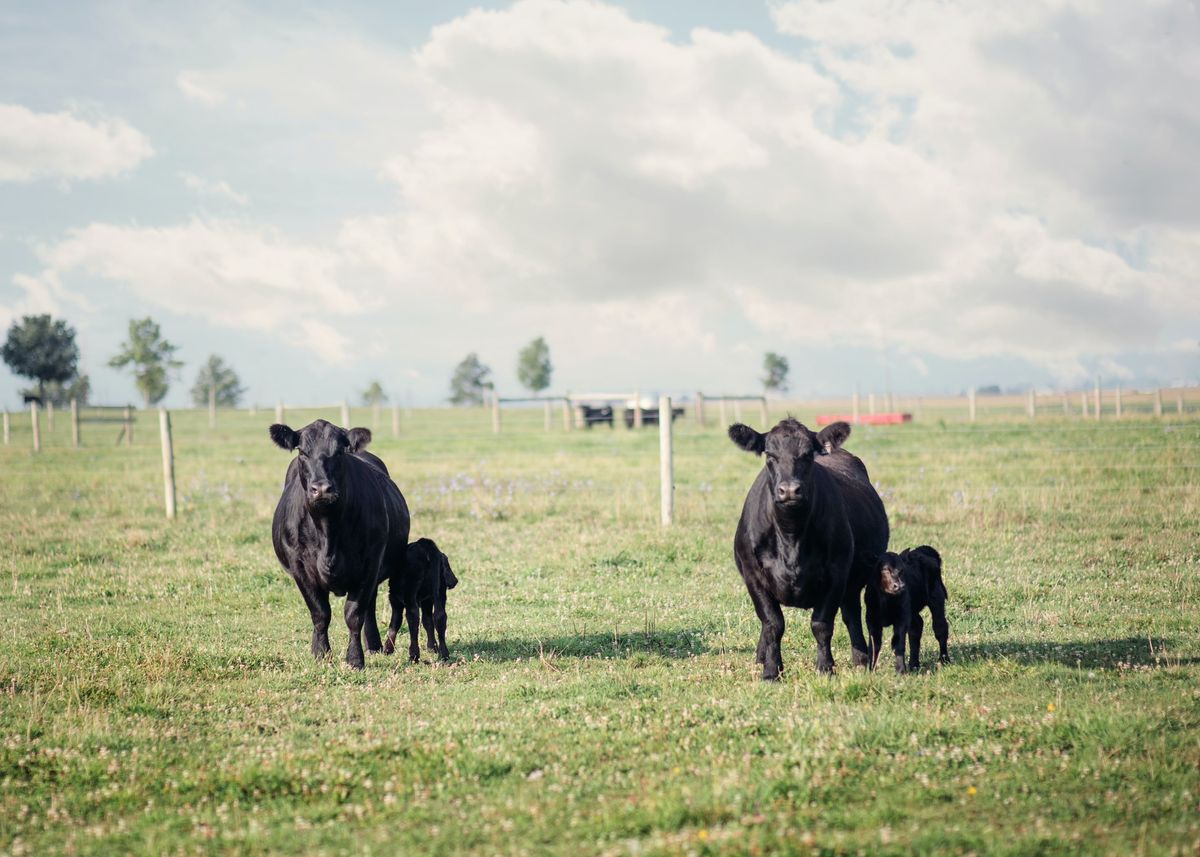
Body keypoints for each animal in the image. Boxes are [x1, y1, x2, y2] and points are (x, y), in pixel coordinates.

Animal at [270, 420, 410, 667]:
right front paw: (320, 653)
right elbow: (320, 613)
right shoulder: (300, 568)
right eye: (302, 452)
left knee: (369, 607)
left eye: (339, 452)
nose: (321, 489)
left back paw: (373, 645)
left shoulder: (370, 563)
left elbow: (354, 614)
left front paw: (355, 658)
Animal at [384, 532, 458, 662]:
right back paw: (444, 654)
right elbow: (427, 621)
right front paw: (432, 648)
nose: (454, 581)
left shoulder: (395, 599)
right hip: (439, 592)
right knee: (440, 616)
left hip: (410, 592)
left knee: (413, 617)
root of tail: (424, 545)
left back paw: (414, 655)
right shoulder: (426, 600)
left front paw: (388, 649)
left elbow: (395, 623)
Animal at [724, 417, 888, 676]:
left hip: (852, 582)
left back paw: (861, 660)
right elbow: (772, 623)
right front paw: (771, 670)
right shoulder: (753, 576)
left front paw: (825, 668)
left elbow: (821, 624)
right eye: (769, 454)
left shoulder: (837, 574)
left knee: (851, 615)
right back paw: (761, 657)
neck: (791, 536)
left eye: (808, 454)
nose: (790, 490)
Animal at [868, 544, 950, 672]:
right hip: (912, 609)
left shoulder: (901, 618)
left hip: (937, 597)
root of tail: (925, 549)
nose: (899, 586)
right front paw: (870, 669)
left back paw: (944, 660)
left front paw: (900, 670)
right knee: (917, 626)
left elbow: (898, 642)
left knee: (940, 627)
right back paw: (914, 664)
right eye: (885, 569)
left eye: (902, 570)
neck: (886, 601)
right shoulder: (872, 619)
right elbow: (874, 644)